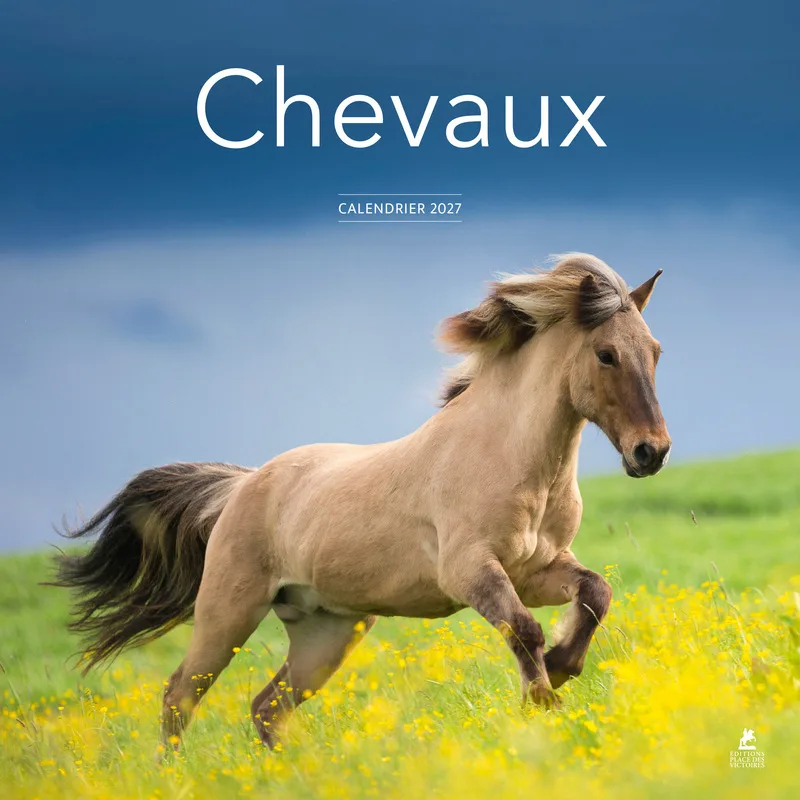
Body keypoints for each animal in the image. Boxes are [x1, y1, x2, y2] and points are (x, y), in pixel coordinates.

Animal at [53, 253, 671, 751]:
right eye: (607, 354)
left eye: (656, 351)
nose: (652, 452)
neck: (508, 456)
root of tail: (241, 487)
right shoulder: (471, 571)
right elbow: (524, 630)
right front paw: (544, 698)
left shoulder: (537, 569)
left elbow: (596, 593)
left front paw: (564, 667)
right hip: (228, 612)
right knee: (180, 695)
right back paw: (175, 775)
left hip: (325, 633)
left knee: (267, 708)